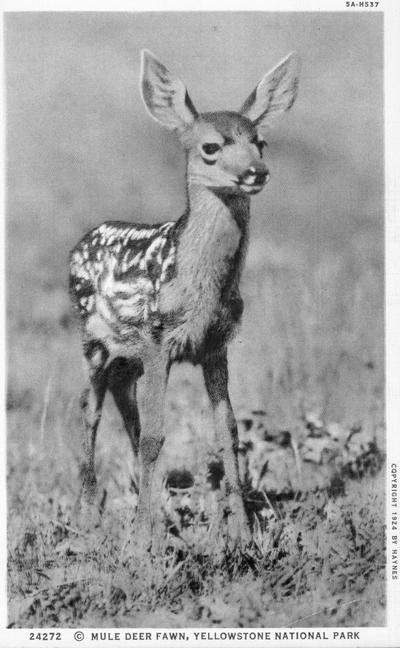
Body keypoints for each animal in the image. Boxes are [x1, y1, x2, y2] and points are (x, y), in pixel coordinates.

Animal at [69, 49, 300, 549]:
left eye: (261, 143)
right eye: (210, 147)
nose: (256, 172)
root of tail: (82, 240)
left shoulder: (214, 346)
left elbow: (227, 432)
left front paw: (244, 533)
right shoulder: (159, 340)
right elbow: (157, 436)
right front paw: (140, 545)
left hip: (128, 355)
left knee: (126, 404)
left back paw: (153, 511)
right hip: (93, 343)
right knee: (90, 411)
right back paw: (89, 516)